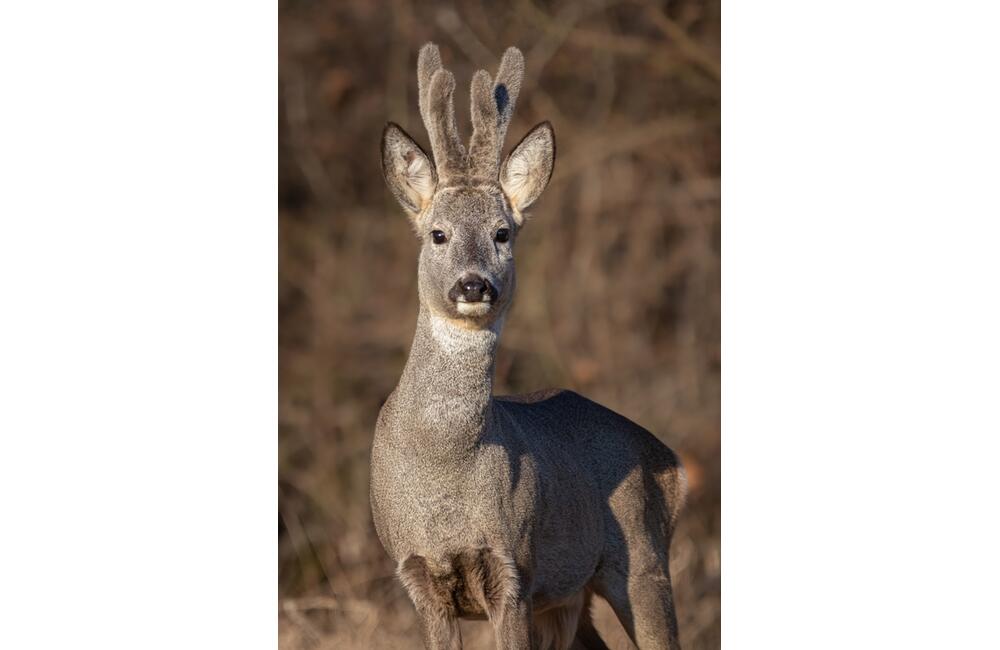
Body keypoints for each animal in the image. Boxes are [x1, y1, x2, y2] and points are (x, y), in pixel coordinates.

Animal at [370, 43, 688, 644]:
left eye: (502, 233)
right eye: (438, 234)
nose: (474, 285)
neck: (443, 469)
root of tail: (672, 462)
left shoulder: (514, 568)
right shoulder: (419, 576)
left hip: (642, 558)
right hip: (570, 599)